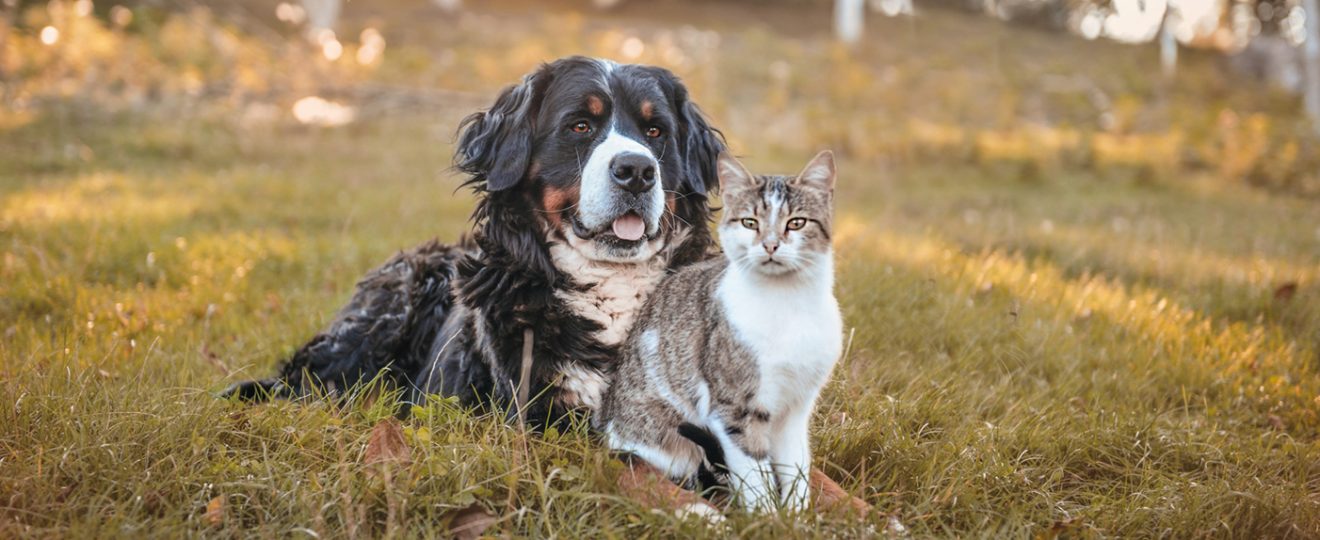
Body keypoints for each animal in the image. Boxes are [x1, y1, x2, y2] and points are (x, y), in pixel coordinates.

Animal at [596, 148, 839, 509]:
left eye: (796, 222)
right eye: (750, 222)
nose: (770, 245)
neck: (788, 302)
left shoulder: (796, 407)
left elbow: (796, 469)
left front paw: (796, 516)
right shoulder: (734, 409)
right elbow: (756, 476)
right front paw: (768, 518)